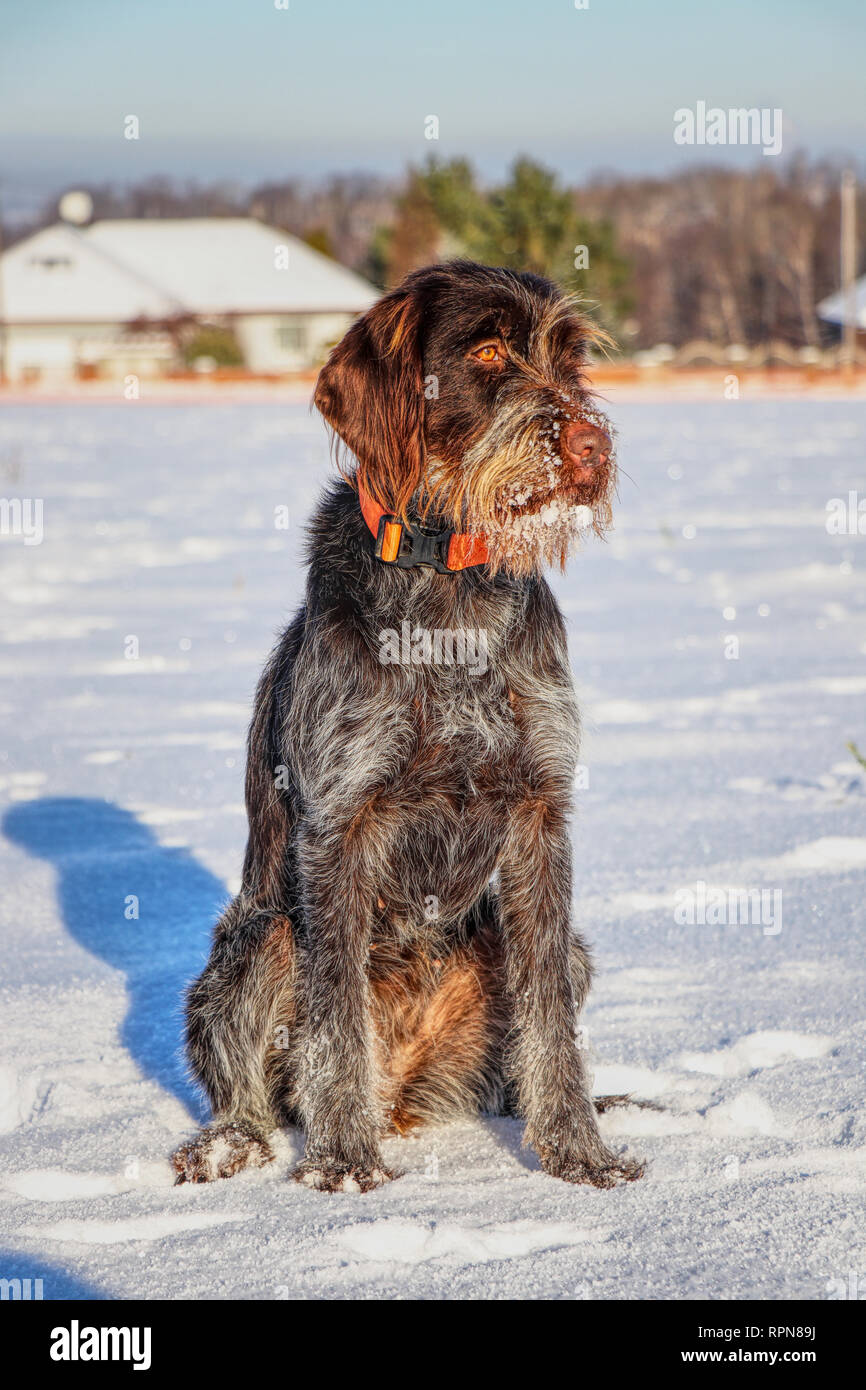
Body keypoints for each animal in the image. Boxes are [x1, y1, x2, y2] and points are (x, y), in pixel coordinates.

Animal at [170, 261, 644, 1195]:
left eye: (570, 356)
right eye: (488, 351)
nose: (590, 449)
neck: (449, 590)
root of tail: (408, 1090)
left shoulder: (539, 816)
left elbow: (550, 1023)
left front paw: (580, 1153)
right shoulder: (340, 823)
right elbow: (335, 1019)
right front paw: (344, 1162)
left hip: (559, 948)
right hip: (255, 942)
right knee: (254, 1086)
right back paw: (233, 1143)